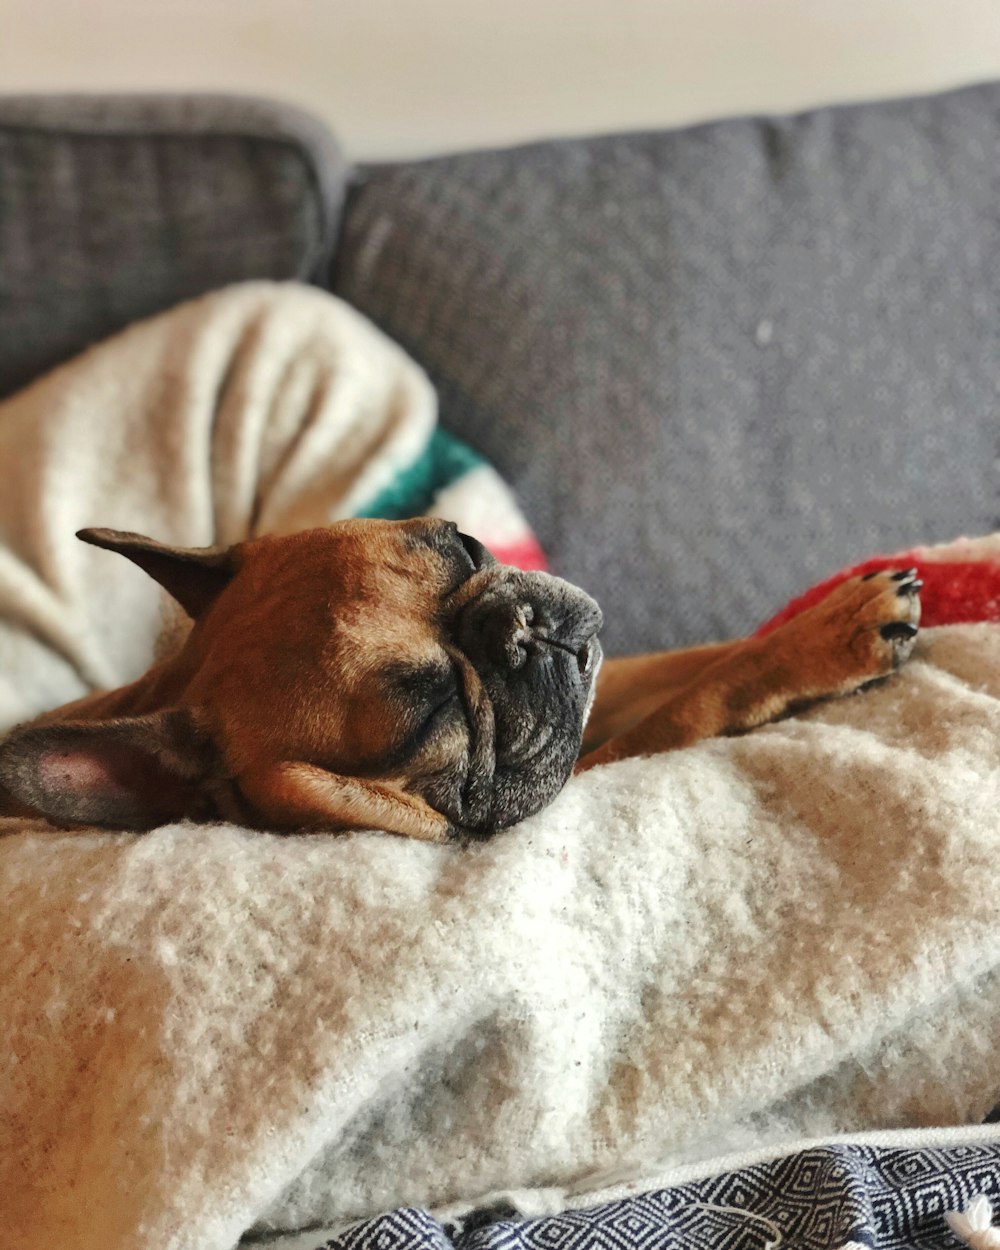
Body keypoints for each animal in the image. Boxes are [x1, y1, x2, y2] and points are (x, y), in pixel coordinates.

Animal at [0, 517, 920, 840]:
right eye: (431, 711)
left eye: (468, 548)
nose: (516, 626)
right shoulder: (573, 765)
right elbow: (695, 701)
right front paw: (837, 634)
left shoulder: (604, 685)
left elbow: (694, 660)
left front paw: (815, 614)